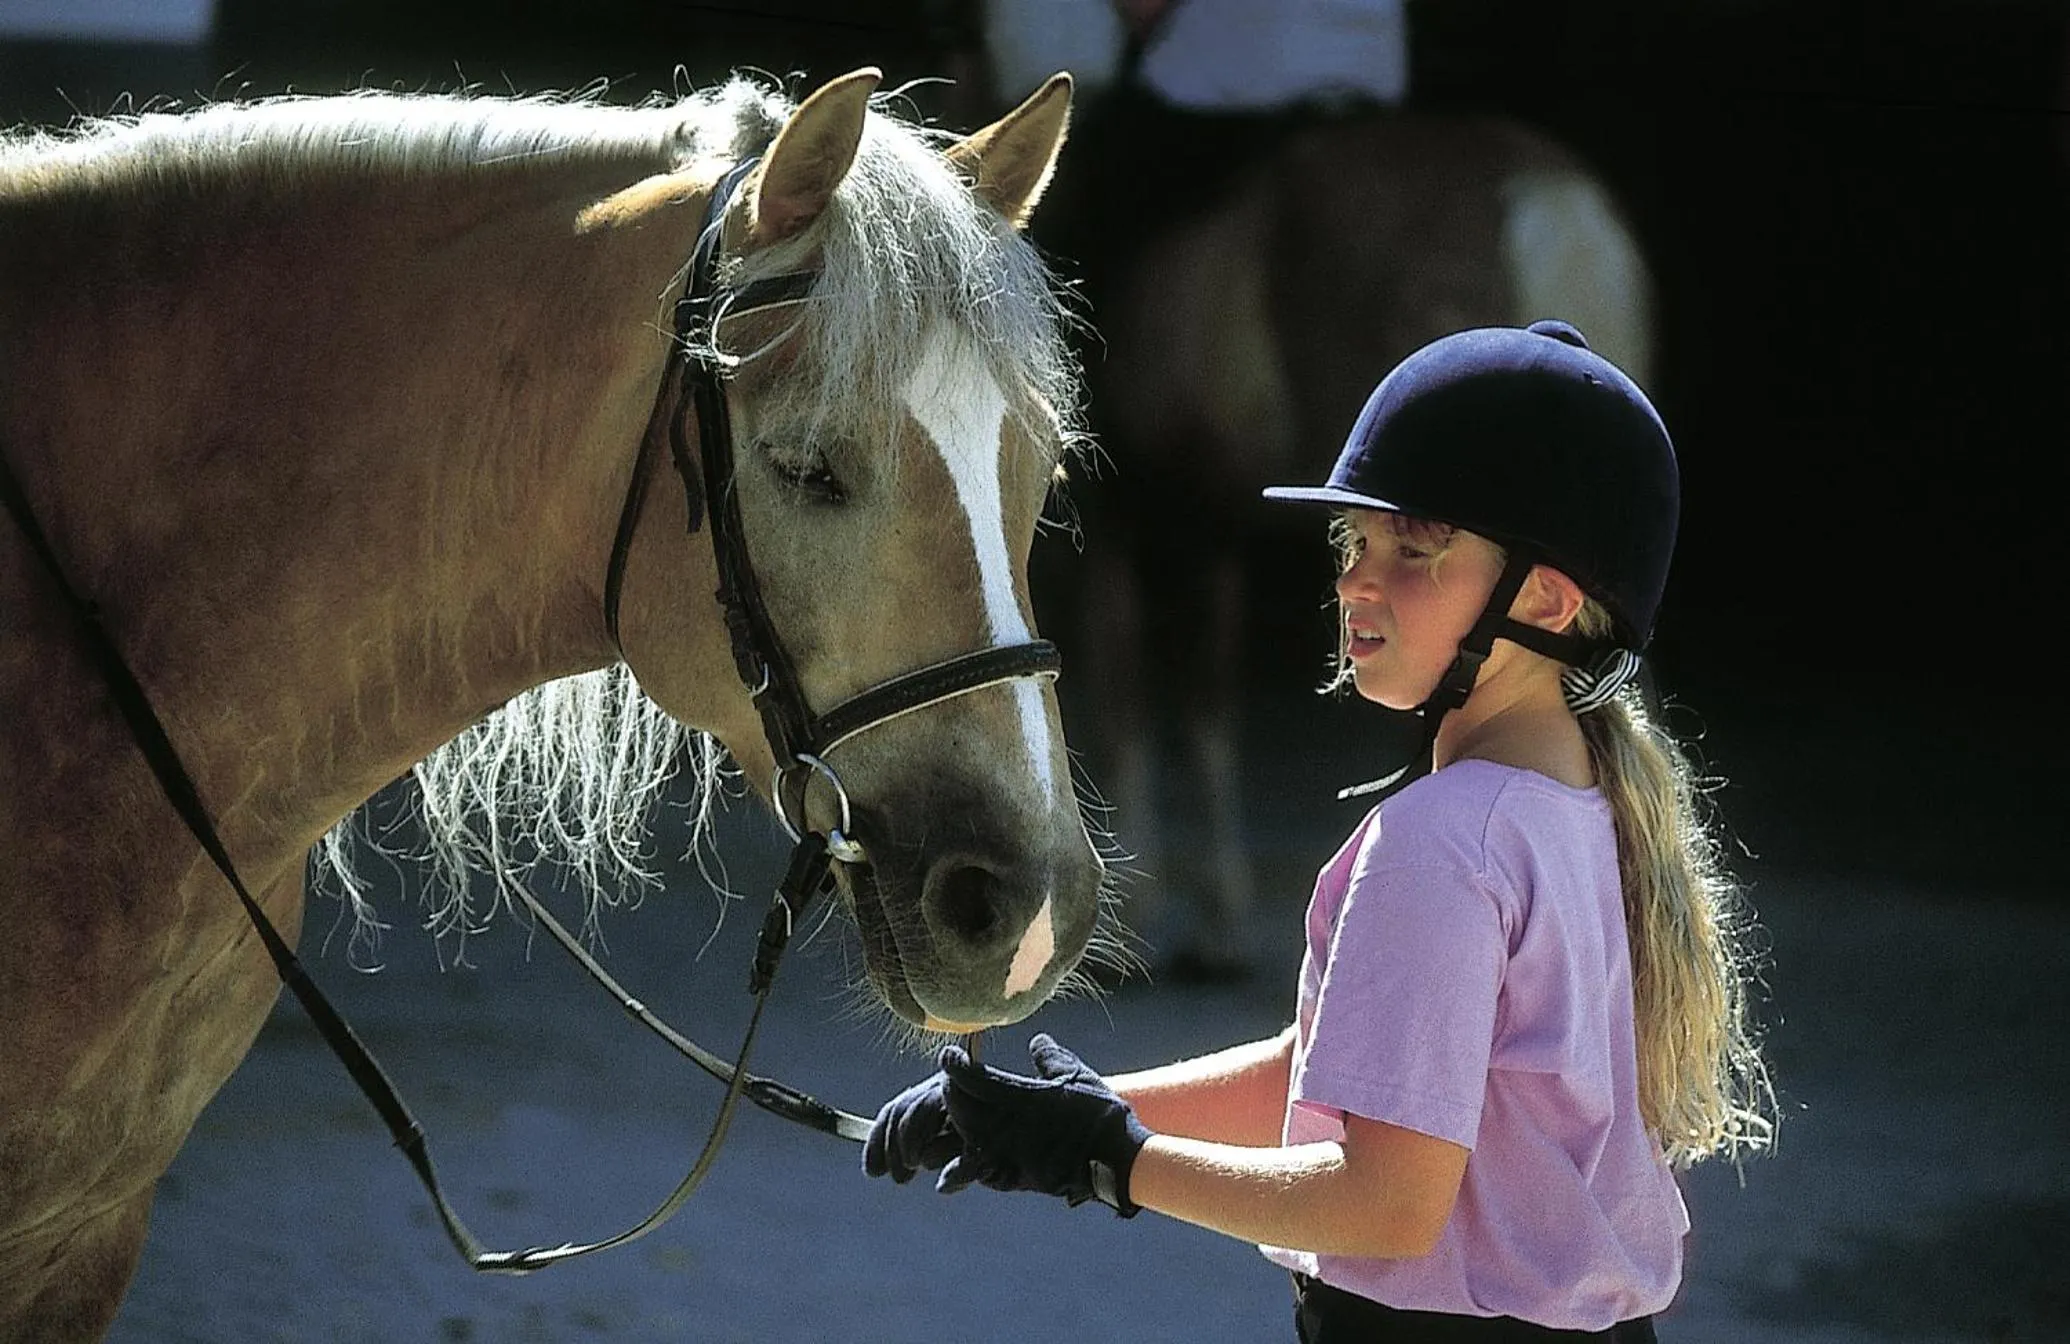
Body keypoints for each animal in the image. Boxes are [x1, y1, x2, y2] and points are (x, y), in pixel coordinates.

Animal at [1036, 99, 1654, 976]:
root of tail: (1546, 200)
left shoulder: (1125, 521)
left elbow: (1134, 697)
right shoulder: (1211, 528)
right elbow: (1206, 695)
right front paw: (1215, 918)